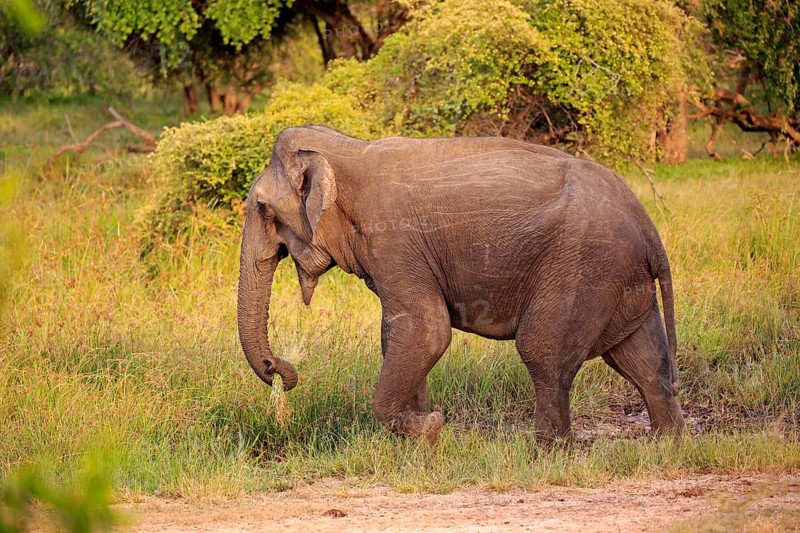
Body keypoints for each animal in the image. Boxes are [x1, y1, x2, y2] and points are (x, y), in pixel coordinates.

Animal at [237, 125, 685, 445]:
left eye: (261, 207)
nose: (280, 371)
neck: (347, 150)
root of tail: (650, 231)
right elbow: (401, 336)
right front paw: (422, 438)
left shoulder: (394, 240)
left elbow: (427, 331)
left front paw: (431, 427)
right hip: (619, 281)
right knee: (642, 361)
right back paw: (666, 445)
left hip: (583, 268)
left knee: (543, 352)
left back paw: (545, 455)